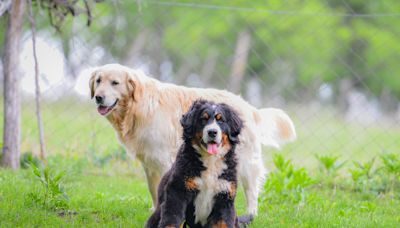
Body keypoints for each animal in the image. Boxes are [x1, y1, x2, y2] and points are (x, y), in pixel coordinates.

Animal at [146, 100, 253, 228]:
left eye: (221, 120)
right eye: (204, 119)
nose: (212, 132)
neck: (210, 161)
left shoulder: (224, 197)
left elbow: (224, 222)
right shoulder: (177, 192)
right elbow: (171, 219)